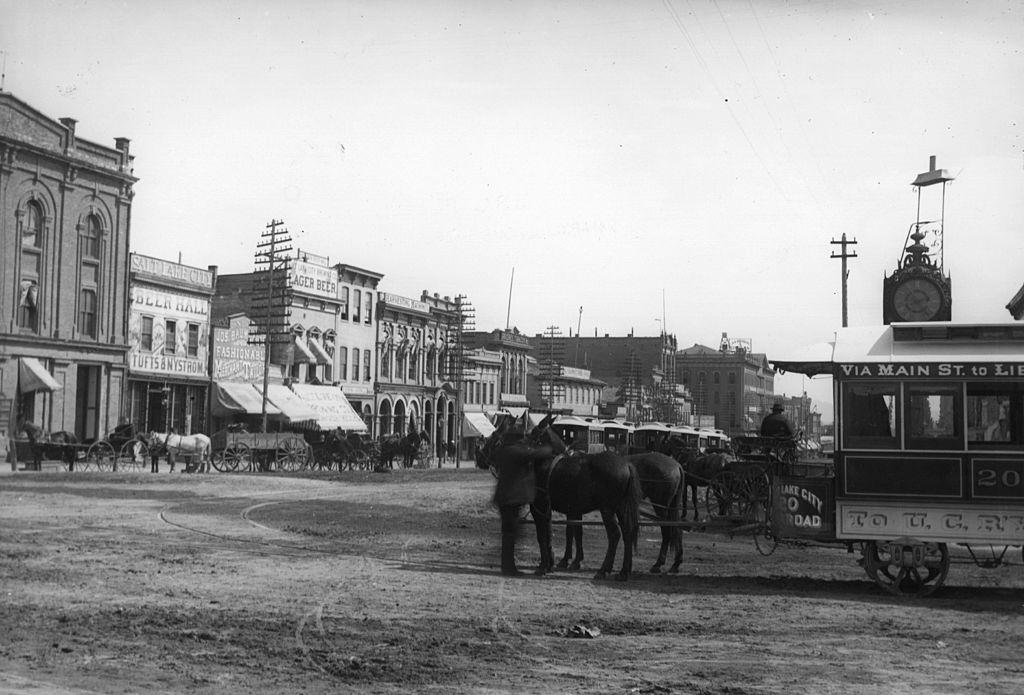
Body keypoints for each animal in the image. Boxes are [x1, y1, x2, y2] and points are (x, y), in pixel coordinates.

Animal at [473, 413, 638, 581]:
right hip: (621, 507)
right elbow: (551, 533)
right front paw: (550, 564)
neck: (540, 461)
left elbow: (543, 535)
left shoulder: (540, 507)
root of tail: (626, 464)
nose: (479, 454)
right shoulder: (552, 509)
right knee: (627, 533)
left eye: (497, 435)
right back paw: (624, 571)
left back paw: (604, 570)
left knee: (614, 534)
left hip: (607, 509)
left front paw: (544, 566)